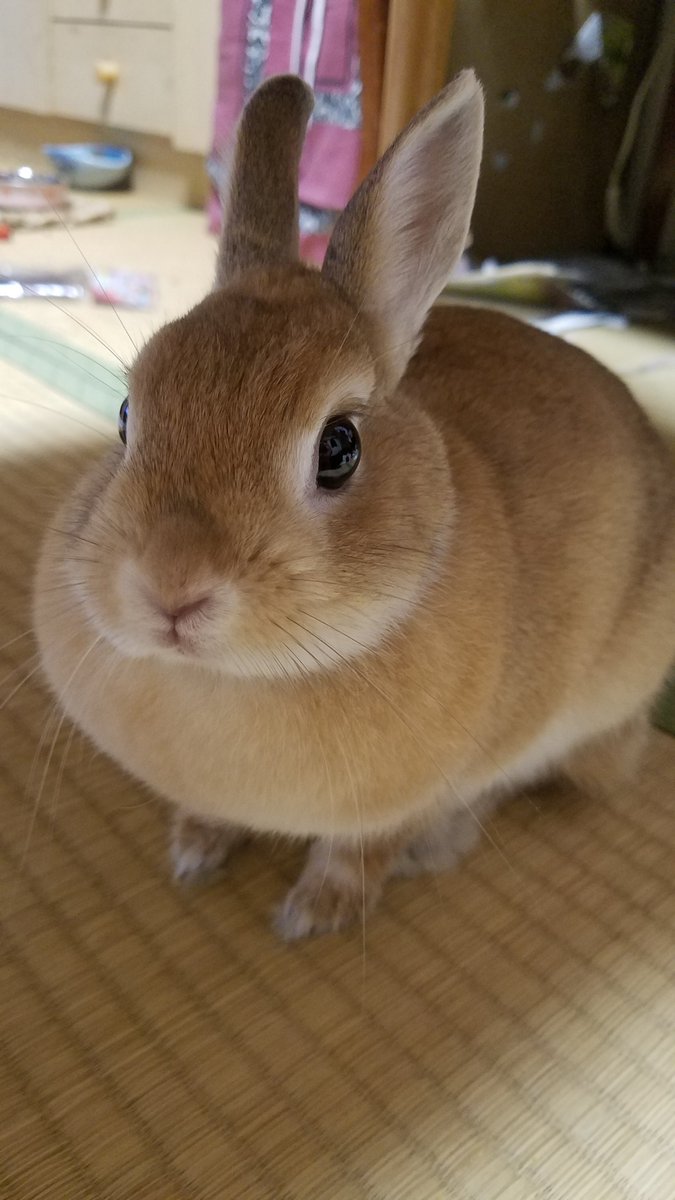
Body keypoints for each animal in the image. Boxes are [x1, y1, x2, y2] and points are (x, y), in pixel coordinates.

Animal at [34, 71, 675, 939]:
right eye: (129, 417)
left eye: (339, 448)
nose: (171, 588)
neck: (240, 678)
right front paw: (195, 853)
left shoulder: (417, 794)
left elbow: (364, 851)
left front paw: (313, 916)